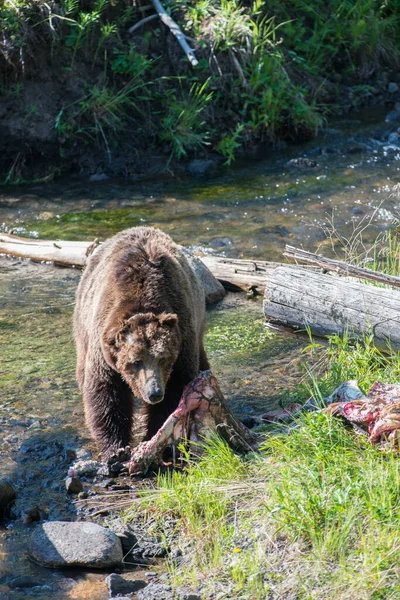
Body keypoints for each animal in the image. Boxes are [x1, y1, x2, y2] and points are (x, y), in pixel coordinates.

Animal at [73, 225, 209, 454]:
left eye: (163, 358)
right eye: (135, 362)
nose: (154, 392)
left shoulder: (182, 339)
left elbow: (176, 390)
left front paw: (154, 436)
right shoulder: (103, 348)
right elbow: (105, 393)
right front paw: (115, 449)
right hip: (83, 326)